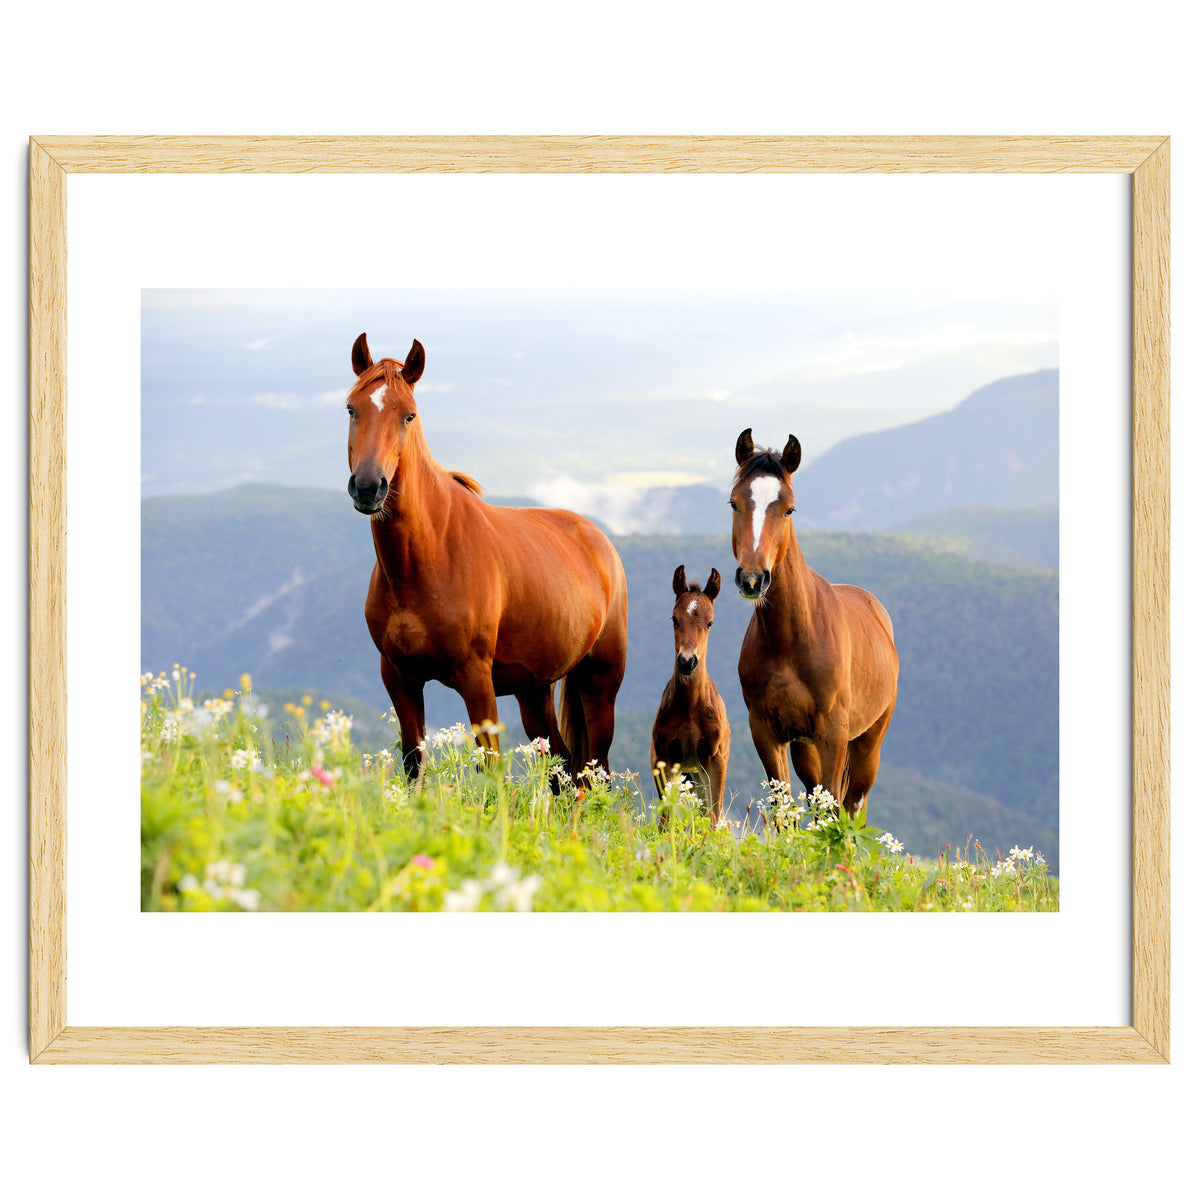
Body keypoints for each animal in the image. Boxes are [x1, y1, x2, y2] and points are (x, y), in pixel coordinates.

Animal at [345, 332, 628, 781]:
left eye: (408, 416)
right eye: (352, 408)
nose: (370, 486)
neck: (426, 558)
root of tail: (599, 541)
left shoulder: (476, 679)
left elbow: (491, 770)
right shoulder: (399, 677)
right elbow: (413, 762)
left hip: (599, 683)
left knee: (593, 772)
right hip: (534, 691)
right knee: (562, 768)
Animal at [650, 566, 731, 824]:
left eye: (710, 623)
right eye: (674, 619)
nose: (687, 661)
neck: (690, 707)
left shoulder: (715, 759)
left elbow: (714, 815)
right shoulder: (664, 758)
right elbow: (666, 817)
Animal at [729, 428, 898, 819]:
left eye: (789, 508)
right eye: (734, 503)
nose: (752, 579)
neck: (790, 640)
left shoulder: (832, 734)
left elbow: (835, 806)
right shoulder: (767, 733)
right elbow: (784, 809)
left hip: (868, 741)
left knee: (854, 803)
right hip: (804, 747)